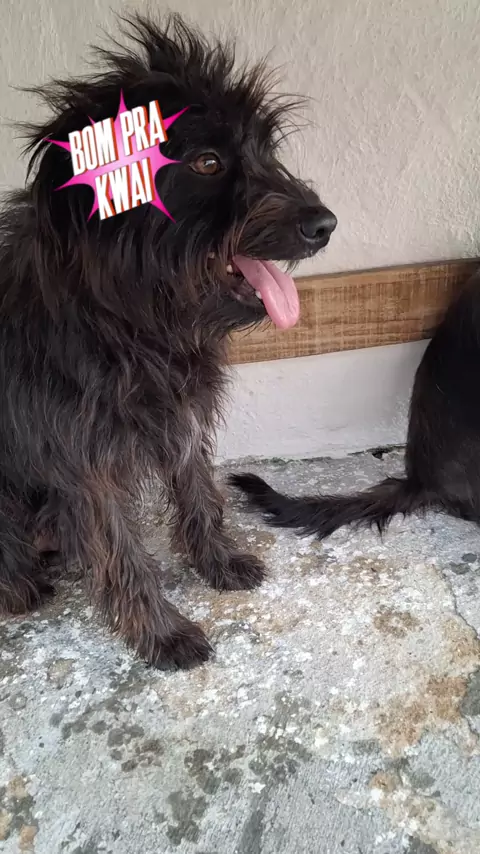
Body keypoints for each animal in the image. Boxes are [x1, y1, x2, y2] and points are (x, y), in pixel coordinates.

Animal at [0, 14, 337, 668]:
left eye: (266, 149)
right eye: (206, 162)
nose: (325, 224)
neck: (135, 320)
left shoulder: (182, 411)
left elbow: (197, 487)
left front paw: (217, 560)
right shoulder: (84, 457)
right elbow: (119, 548)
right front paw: (160, 632)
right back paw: (19, 584)